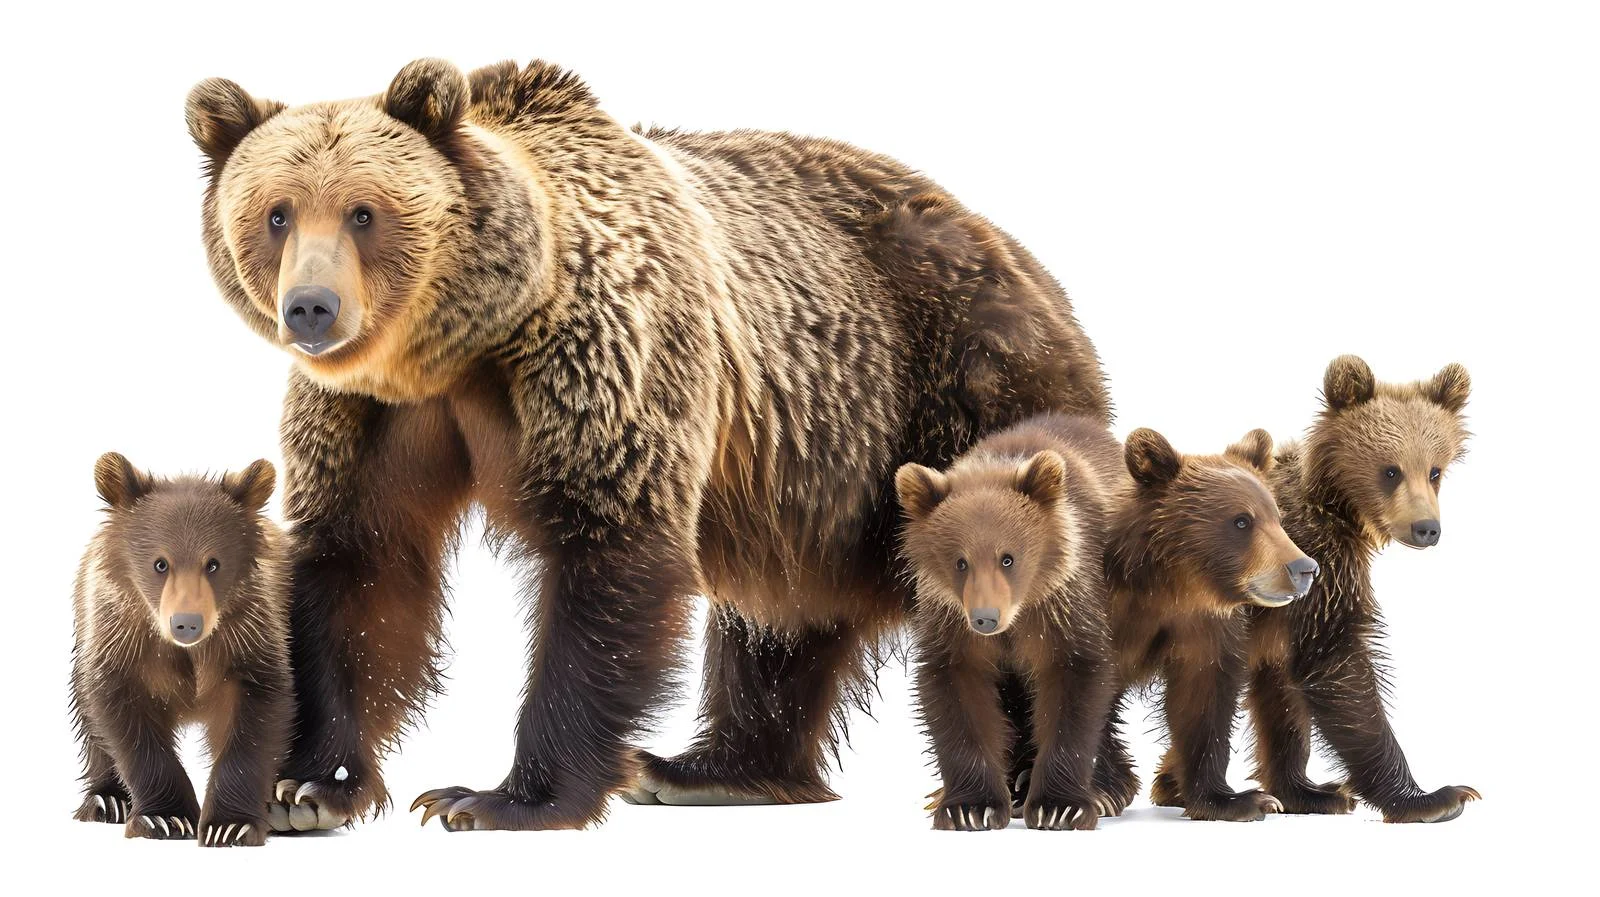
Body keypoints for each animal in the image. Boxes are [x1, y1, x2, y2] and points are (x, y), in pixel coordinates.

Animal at [70, 453, 291, 847]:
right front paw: (164, 817)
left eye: (213, 563)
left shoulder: (247, 635)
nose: (186, 623)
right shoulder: (120, 639)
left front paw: (230, 825)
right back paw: (105, 799)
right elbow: (124, 719)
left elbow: (257, 713)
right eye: (160, 563)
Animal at [894, 413, 1123, 831]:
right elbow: (958, 690)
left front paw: (1060, 807)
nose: (985, 618)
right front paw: (968, 807)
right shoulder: (951, 623)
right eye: (960, 561)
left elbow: (1075, 681)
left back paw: (1103, 789)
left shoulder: (1062, 605)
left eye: (1008, 558)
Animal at [1099, 428, 1319, 822]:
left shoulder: (1201, 624)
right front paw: (1102, 792)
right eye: (1241, 520)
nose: (1304, 568)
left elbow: (1203, 698)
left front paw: (1239, 800)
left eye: (1276, 517)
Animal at [1243, 355, 1479, 823]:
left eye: (1435, 470)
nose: (1427, 529)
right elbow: (1339, 665)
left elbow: (1281, 692)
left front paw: (1310, 791)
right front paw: (1434, 798)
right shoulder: (1317, 569)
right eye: (1390, 470)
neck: (1340, 514)